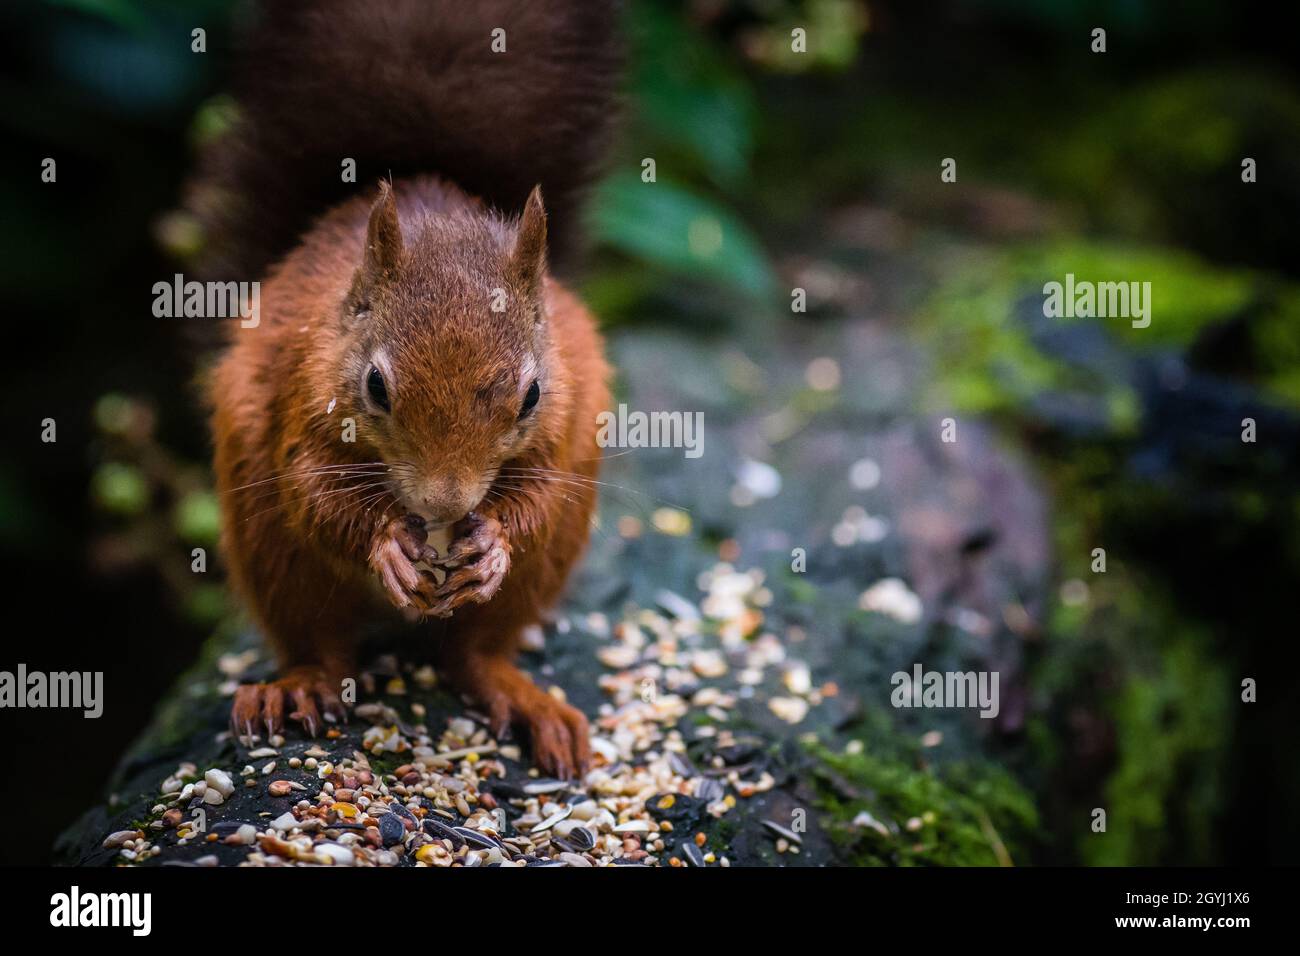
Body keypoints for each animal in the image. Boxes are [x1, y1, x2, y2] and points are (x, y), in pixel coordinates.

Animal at [198, 0, 622, 778]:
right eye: (375, 386)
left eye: (532, 395)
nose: (444, 505)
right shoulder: (300, 401)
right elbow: (315, 493)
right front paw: (387, 543)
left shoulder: (565, 421)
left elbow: (540, 494)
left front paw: (494, 542)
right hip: (268, 544)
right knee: (321, 642)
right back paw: (297, 686)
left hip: (545, 564)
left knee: (473, 654)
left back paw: (525, 699)